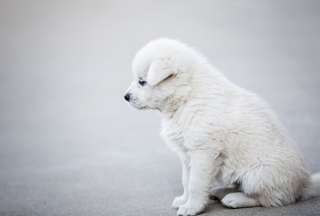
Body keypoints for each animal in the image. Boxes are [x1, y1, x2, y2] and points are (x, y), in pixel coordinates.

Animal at [123, 38, 320, 215]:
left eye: (142, 81)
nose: (125, 97)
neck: (186, 97)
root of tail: (303, 184)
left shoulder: (203, 152)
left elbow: (195, 183)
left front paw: (191, 207)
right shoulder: (187, 154)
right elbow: (186, 180)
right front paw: (184, 200)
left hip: (258, 175)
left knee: (270, 199)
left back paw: (235, 199)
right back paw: (219, 192)